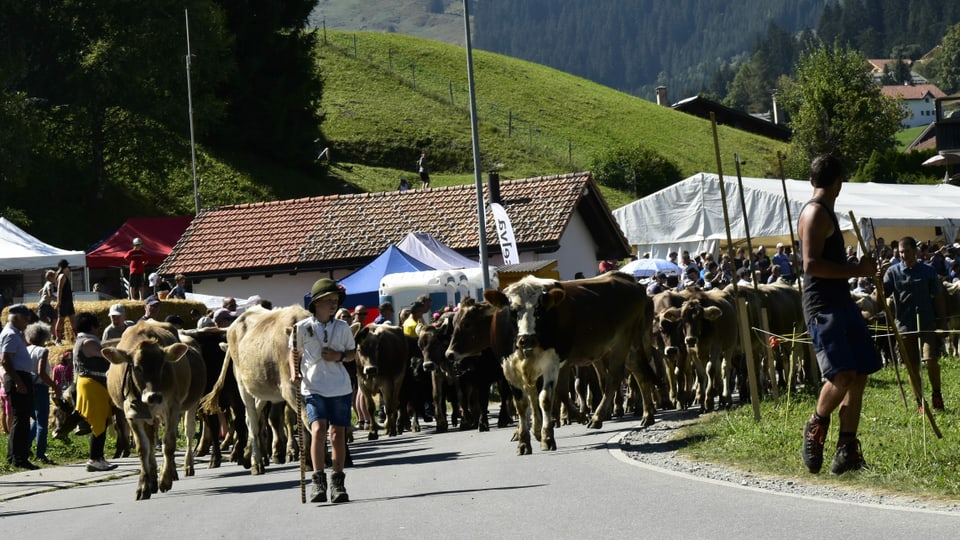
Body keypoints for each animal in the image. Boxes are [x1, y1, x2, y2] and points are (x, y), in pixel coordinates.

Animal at [101, 318, 206, 500]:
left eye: (162, 365)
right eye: (137, 367)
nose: (154, 396)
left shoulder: (172, 408)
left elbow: (168, 444)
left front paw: (165, 480)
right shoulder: (132, 413)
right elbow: (143, 448)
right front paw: (144, 485)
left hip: (190, 405)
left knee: (188, 432)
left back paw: (185, 467)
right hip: (151, 417)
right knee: (151, 440)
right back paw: (154, 478)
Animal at [198, 306, 310, 474]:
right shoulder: (289, 389)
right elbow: (307, 420)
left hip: (261, 388)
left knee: (252, 418)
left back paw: (247, 454)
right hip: (243, 387)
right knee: (251, 420)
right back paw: (256, 462)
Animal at [480, 272, 660, 454]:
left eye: (540, 310)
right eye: (512, 310)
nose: (527, 339)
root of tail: (629, 281)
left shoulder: (551, 363)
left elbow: (545, 398)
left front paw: (547, 437)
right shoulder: (510, 369)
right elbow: (525, 403)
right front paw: (525, 439)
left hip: (621, 343)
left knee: (614, 378)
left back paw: (597, 417)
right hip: (630, 347)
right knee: (641, 374)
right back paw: (647, 415)